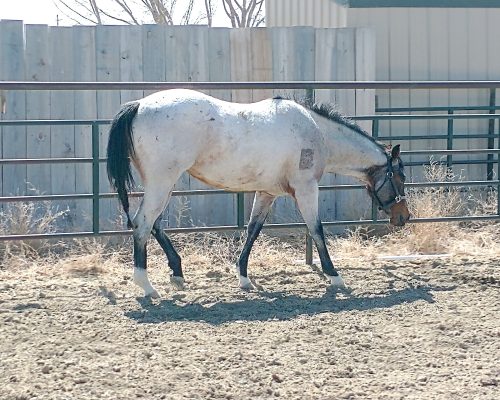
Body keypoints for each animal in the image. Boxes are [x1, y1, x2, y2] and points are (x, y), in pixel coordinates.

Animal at [106, 90, 410, 296]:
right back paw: (147, 286)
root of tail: (138, 106)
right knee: (143, 224)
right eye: (401, 177)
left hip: (161, 184)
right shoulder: (306, 188)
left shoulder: (266, 192)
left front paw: (244, 278)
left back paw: (177, 273)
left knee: (151, 222)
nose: (404, 216)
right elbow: (317, 230)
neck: (316, 132)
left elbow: (253, 230)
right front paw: (335, 277)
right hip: (162, 181)